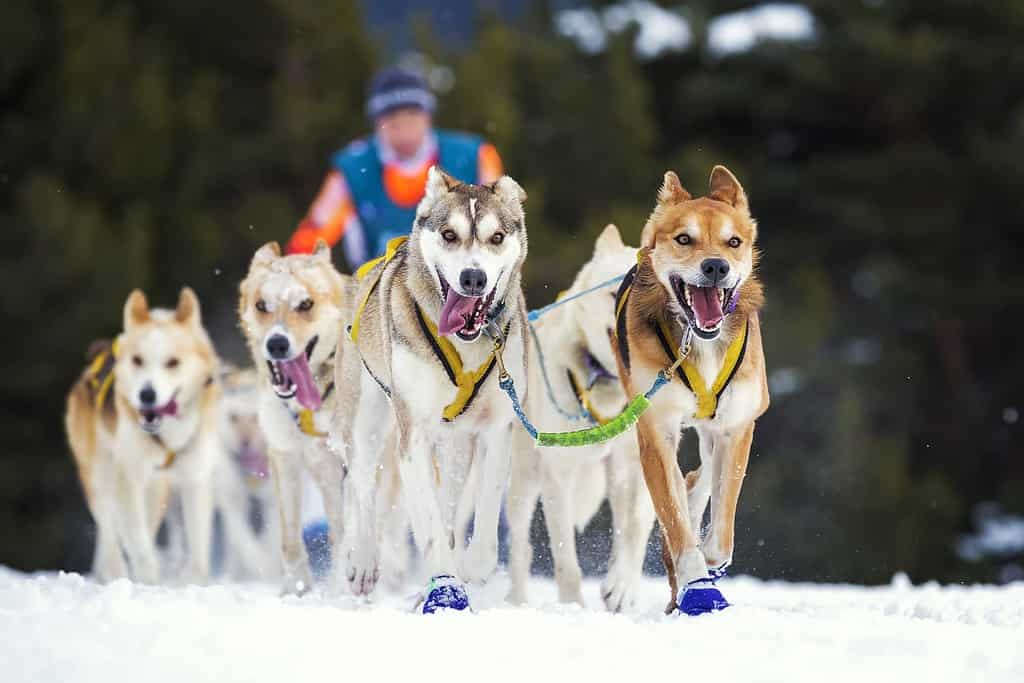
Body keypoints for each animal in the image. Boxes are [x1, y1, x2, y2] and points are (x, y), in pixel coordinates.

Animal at [66, 286, 224, 581]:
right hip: (99, 475)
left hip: (155, 491)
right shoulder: (127, 479)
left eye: (173, 362)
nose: (147, 395)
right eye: (138, 360)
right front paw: (146, 580)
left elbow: (197, 550)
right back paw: (114, 572)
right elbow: (138, 548)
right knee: (109, 529)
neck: (168, 436)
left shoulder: (196, 479)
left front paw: (193, 581)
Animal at [348, 166, 532, 614]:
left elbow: (483, 512)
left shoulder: (497, 428)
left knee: (452, 498)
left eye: (496, 237)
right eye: (449, 234)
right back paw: (363, 560)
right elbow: (429, 525)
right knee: (361, 487)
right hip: (366, 422)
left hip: (456, 447)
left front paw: (473, 566)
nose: (473, 277)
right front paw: (445, 584)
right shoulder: (412, 434)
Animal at [505, 223, 655, 610]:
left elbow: (636, 524)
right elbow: (566, 560)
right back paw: (517, 602)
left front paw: (622, 586)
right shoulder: (558, 476)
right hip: (523, 478)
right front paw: (572, 606)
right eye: (614, 292)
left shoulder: (638, 465)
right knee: (520, 548)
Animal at [606, 165, 770, 614]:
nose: (715, 267)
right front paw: (695, 578)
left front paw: (709, 560)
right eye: (684, 239)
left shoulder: (737, 426)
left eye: (734, 242)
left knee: (703, 475)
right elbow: (675, 520)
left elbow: (722, 524)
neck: (698, 341)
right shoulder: (656, 430)